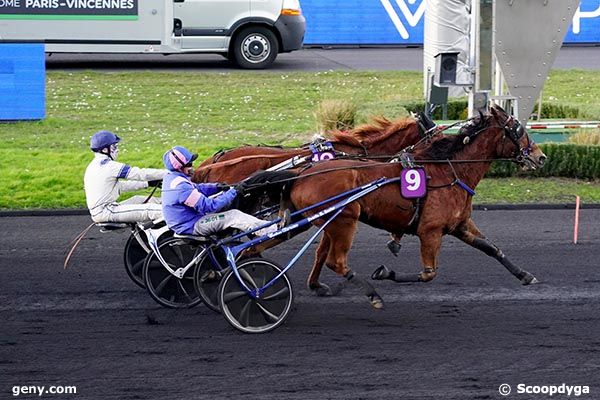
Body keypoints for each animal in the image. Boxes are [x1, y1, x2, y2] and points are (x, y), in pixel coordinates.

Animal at [276, 104, 548, 308]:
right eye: (518, 129)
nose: (541, 157)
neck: (451, 170)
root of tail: (301, 175)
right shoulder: (430, 231)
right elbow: (428, 273)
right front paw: (385, 272)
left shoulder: (460, 224)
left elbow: (492, 248)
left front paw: (525, 275)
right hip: (344, 220)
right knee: (336, 261)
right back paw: (372, 294)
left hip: (333, 222)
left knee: (325, 254)